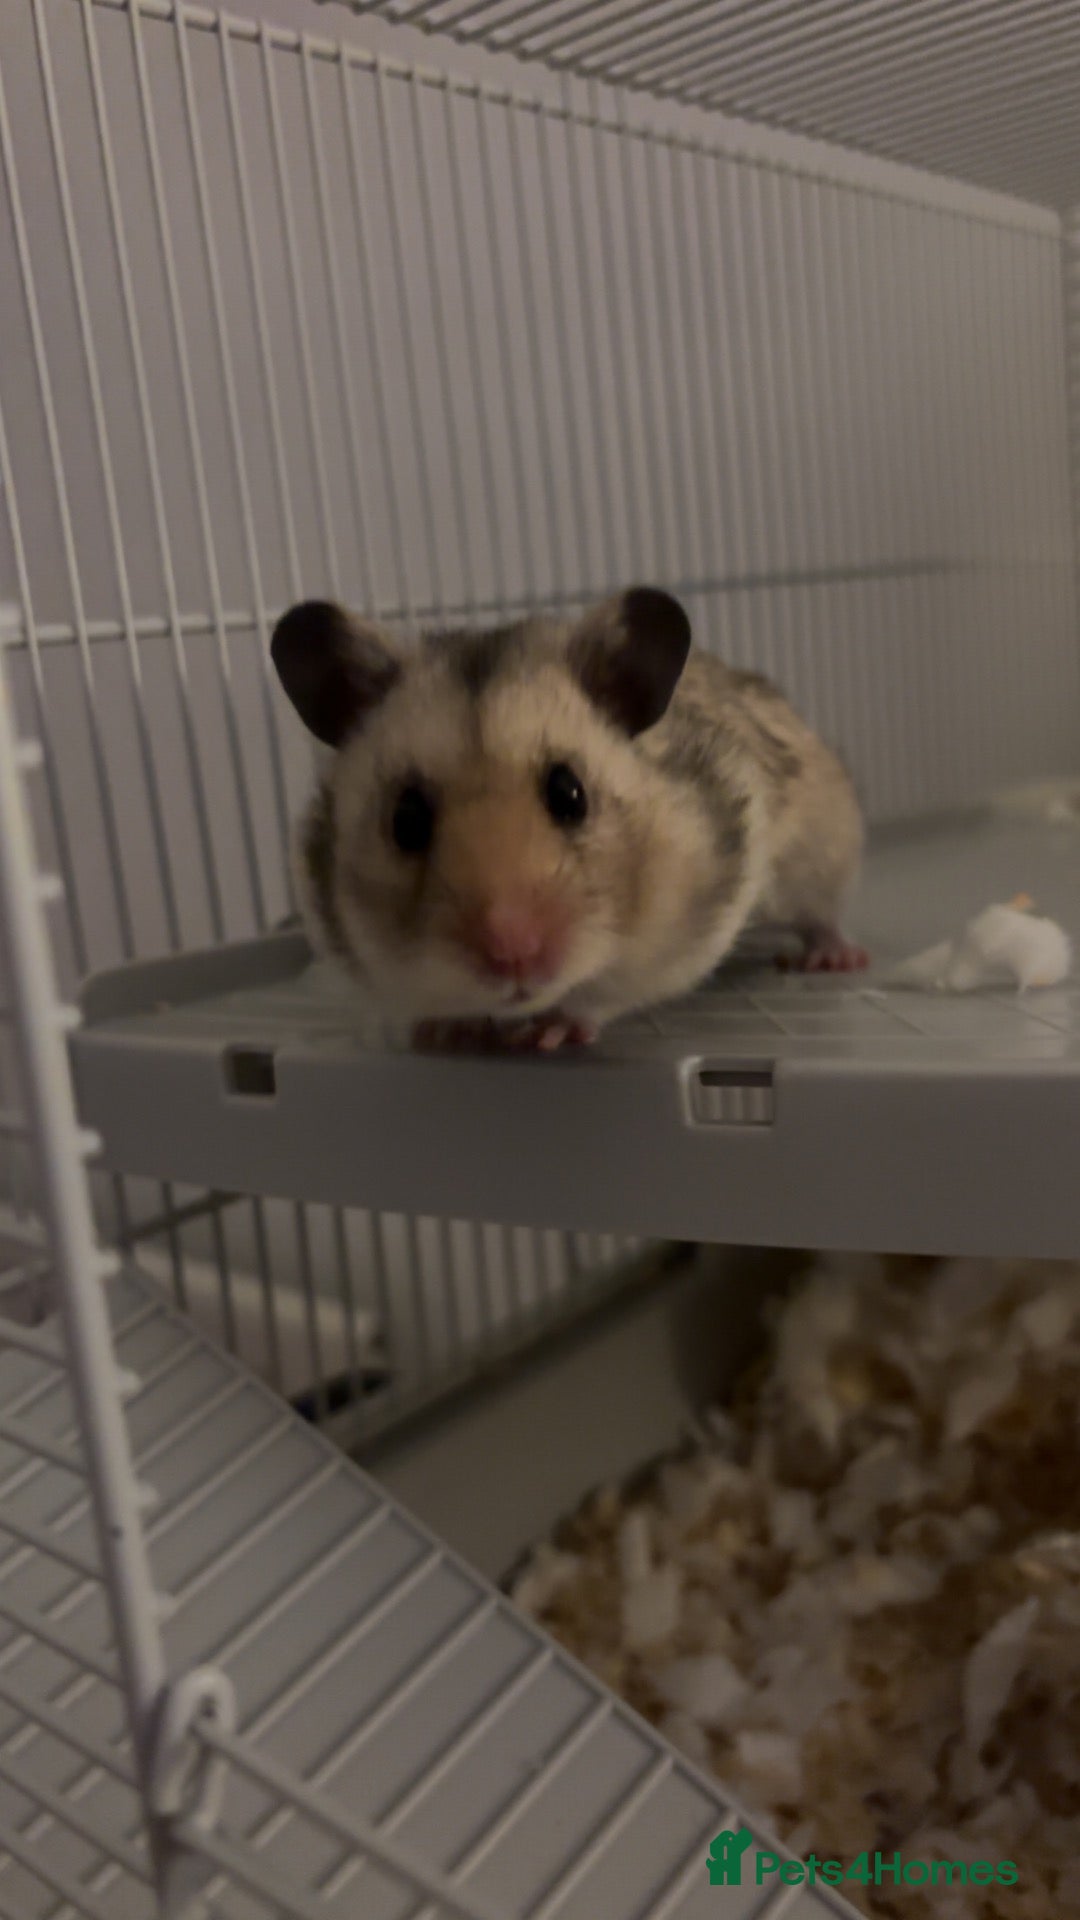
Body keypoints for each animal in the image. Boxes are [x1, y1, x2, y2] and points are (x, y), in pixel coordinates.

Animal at [271, 587, 865, 1051]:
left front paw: (549, 1031)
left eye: (569, 794)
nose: (512, 956)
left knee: (821, 915)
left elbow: (603, 992)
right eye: (406, 820)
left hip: (822, 849)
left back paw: (835, 958)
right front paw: (448, 1032)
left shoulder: (679, 939)